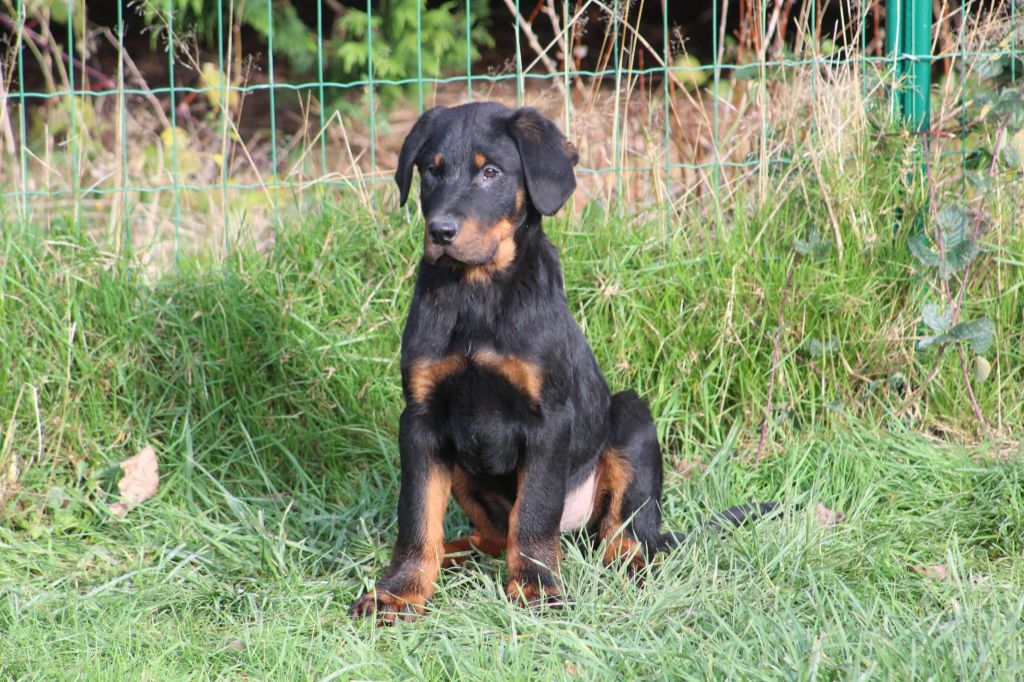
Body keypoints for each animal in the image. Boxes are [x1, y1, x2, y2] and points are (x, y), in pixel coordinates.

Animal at [352, 102, 782, 622]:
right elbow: (417, 517)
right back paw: (456, 554)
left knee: (625, 533)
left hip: (631, 421)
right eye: (431, 171)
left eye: (491, 173)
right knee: (492, 537)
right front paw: (399, 592)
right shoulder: (421, 420)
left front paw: (536, 589)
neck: (476, 293)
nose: (440, 231)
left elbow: (534, 513)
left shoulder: (548, 420)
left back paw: (633, 567)